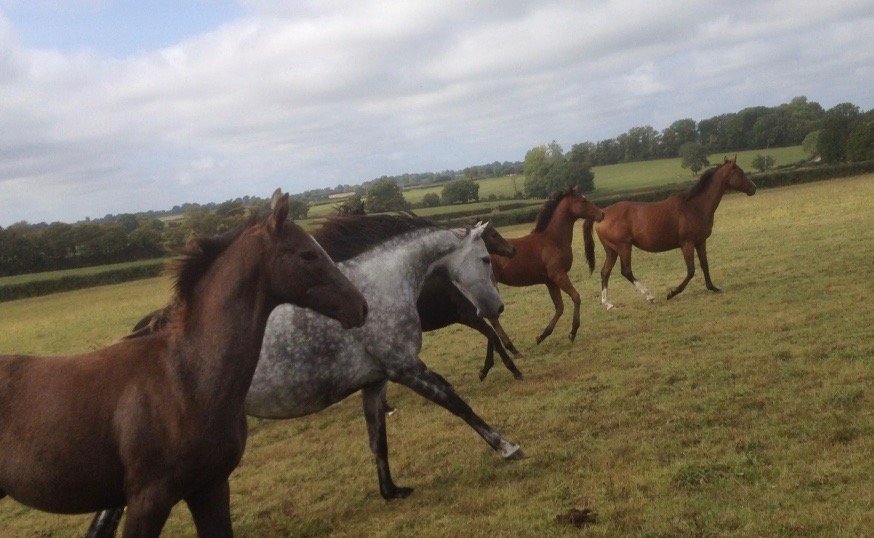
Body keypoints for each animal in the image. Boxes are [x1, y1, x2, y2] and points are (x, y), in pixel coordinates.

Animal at [488, 187, 605, 347]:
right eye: (583, 201)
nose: (601, 214)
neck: (552, 240)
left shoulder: (551, 282)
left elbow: (559, 307)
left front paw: (541, 336)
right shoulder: (559, 275)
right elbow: (576, 297)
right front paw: (573, 332)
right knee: (492, 316)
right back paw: (509, 346)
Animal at [583, 157, 757, 309]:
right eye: (740, 172)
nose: (754, 188)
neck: (694, 206)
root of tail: (602, 213)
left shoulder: (700, 242)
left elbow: (704, 265)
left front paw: (713, 288)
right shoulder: (687, 244)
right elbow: (691, 270)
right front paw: (672, 293)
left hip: (612, 250)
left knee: (605, 272)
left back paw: (608, 304)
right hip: (624, 247)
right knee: (626, 271)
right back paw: (649, 295)